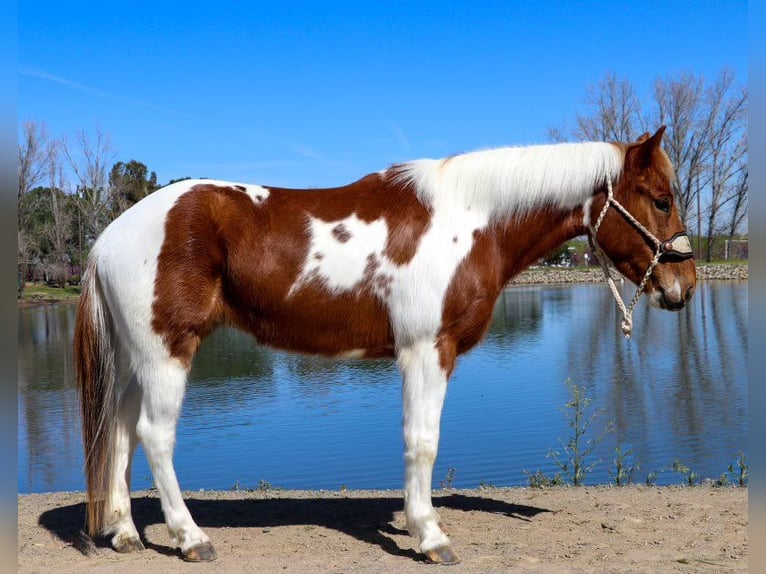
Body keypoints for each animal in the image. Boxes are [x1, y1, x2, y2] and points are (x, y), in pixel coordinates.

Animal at [75, 127, 700, 568]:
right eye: (660, 199)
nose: (685, 286)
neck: (470, 220)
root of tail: (109, 236)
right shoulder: (428, 351)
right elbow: (423, 442)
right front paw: (430, 536)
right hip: (167, 351)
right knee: (155, 435)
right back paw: (190, 538)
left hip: (140, 356)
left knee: (123, 427)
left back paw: (126, 534)